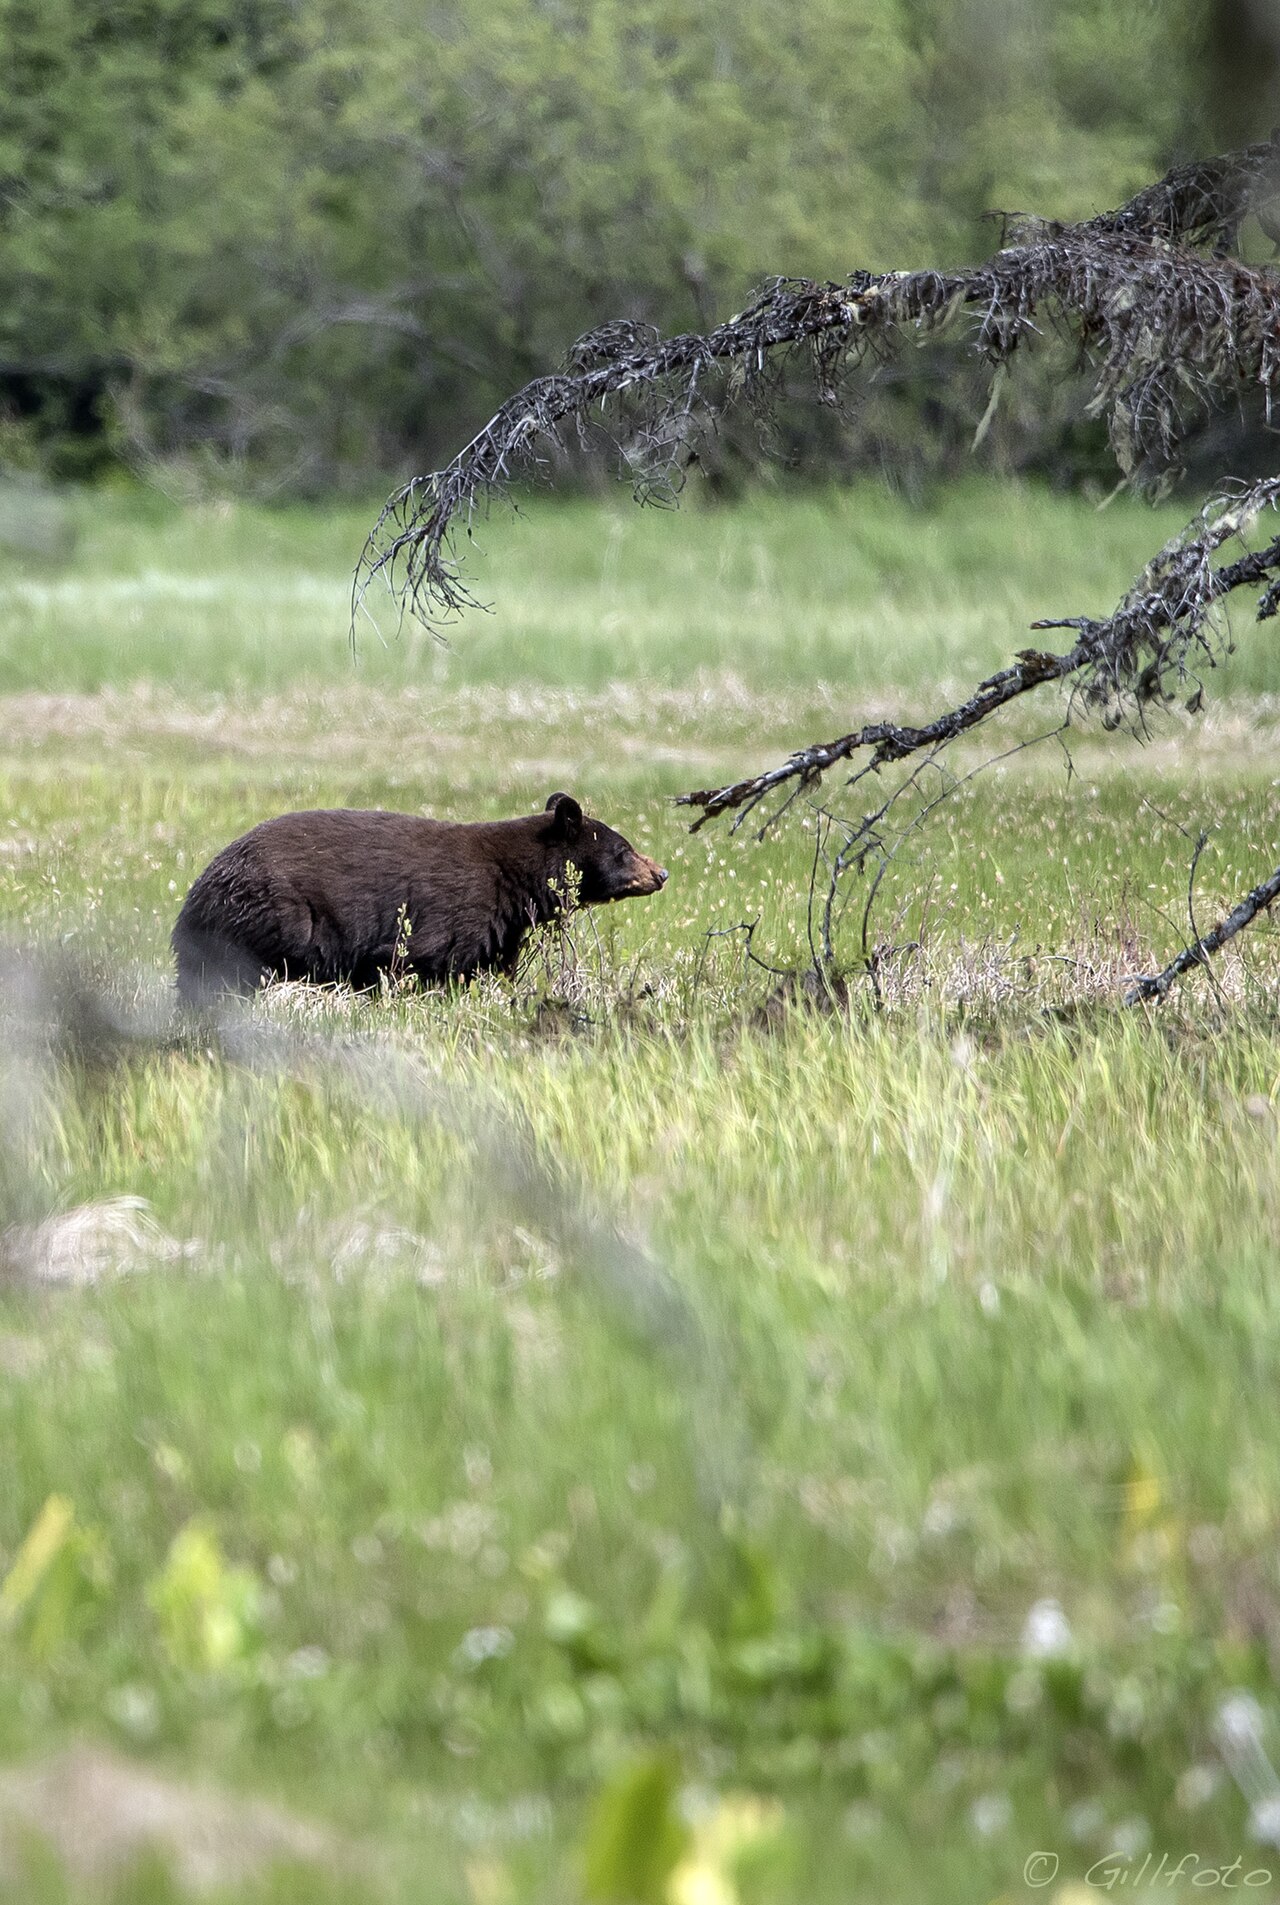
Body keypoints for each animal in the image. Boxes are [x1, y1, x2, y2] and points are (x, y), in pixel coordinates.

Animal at [172, 793, 667, 1003]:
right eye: (623, 850)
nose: (661, 872)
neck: (514, 880)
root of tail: (195, 896)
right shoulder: (458, 912)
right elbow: (417, 960)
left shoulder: (500, 929)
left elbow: (490, 968)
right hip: (275, 918)